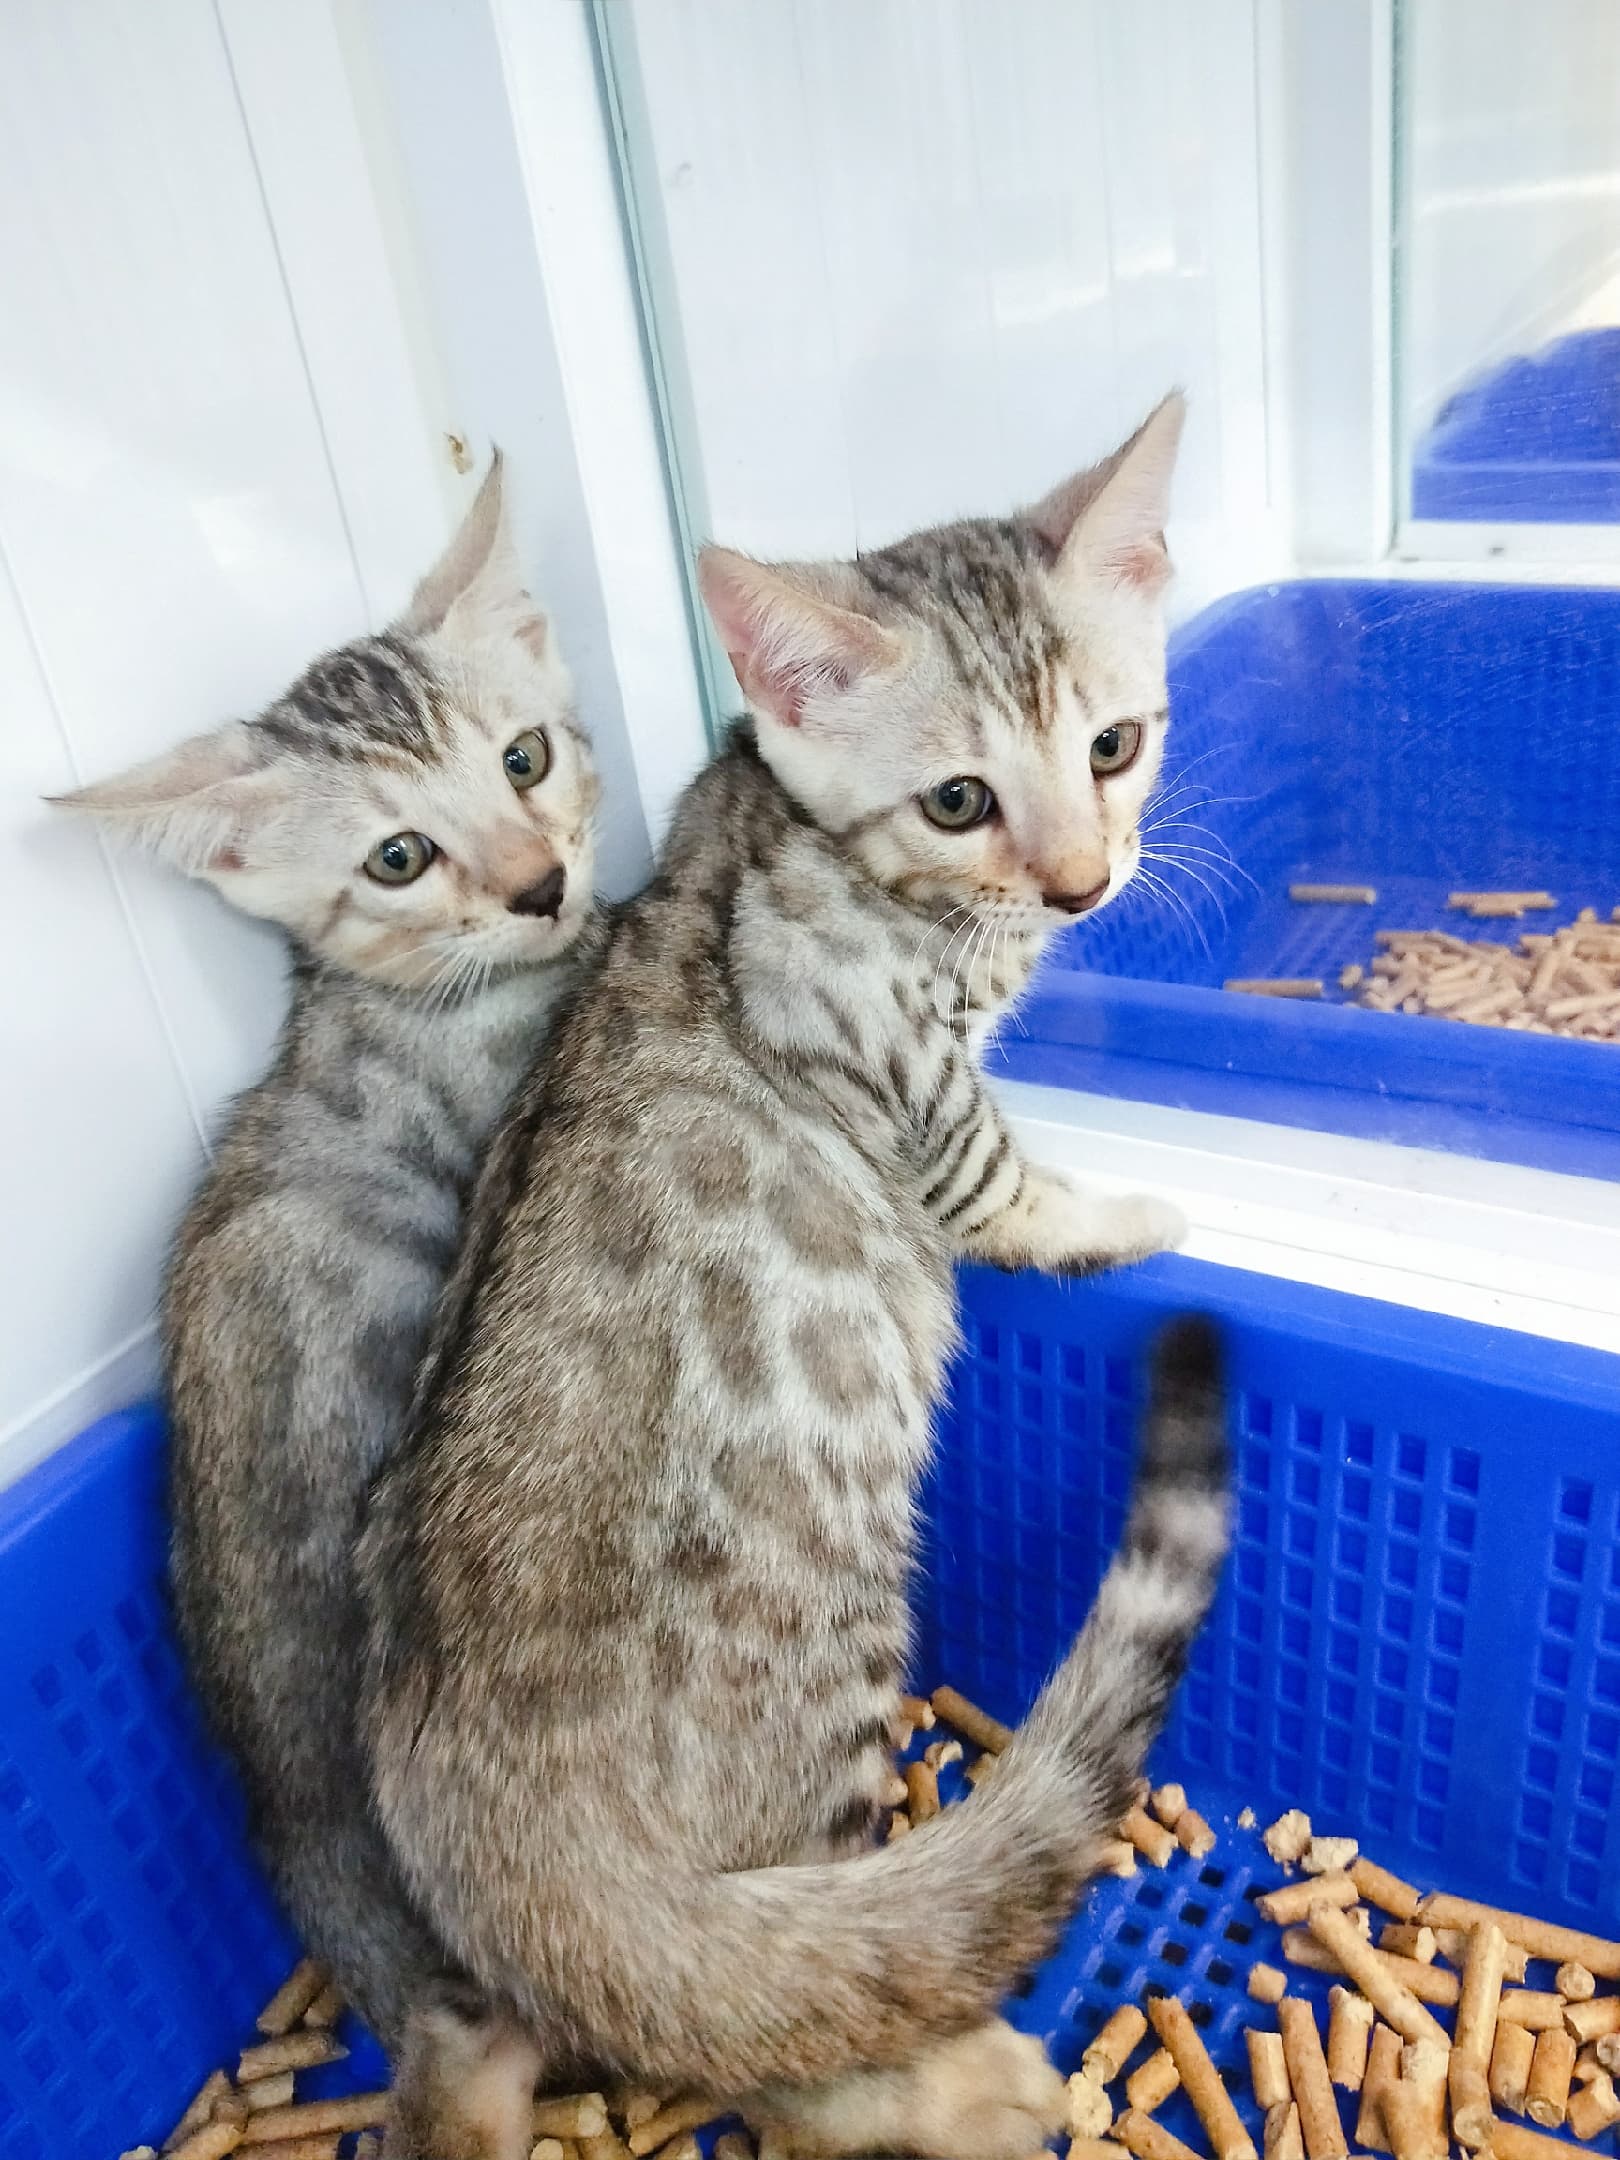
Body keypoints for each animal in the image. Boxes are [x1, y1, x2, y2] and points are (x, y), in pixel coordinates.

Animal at [352, 393, 1227, 2160]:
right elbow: (1008, 1191)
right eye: (958, 800)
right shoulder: (913, 1087)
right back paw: (965, 2086)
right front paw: (1126, 1209)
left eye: (1115, 745)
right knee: (788, 2047)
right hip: (833, 1697)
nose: (1086, 881)